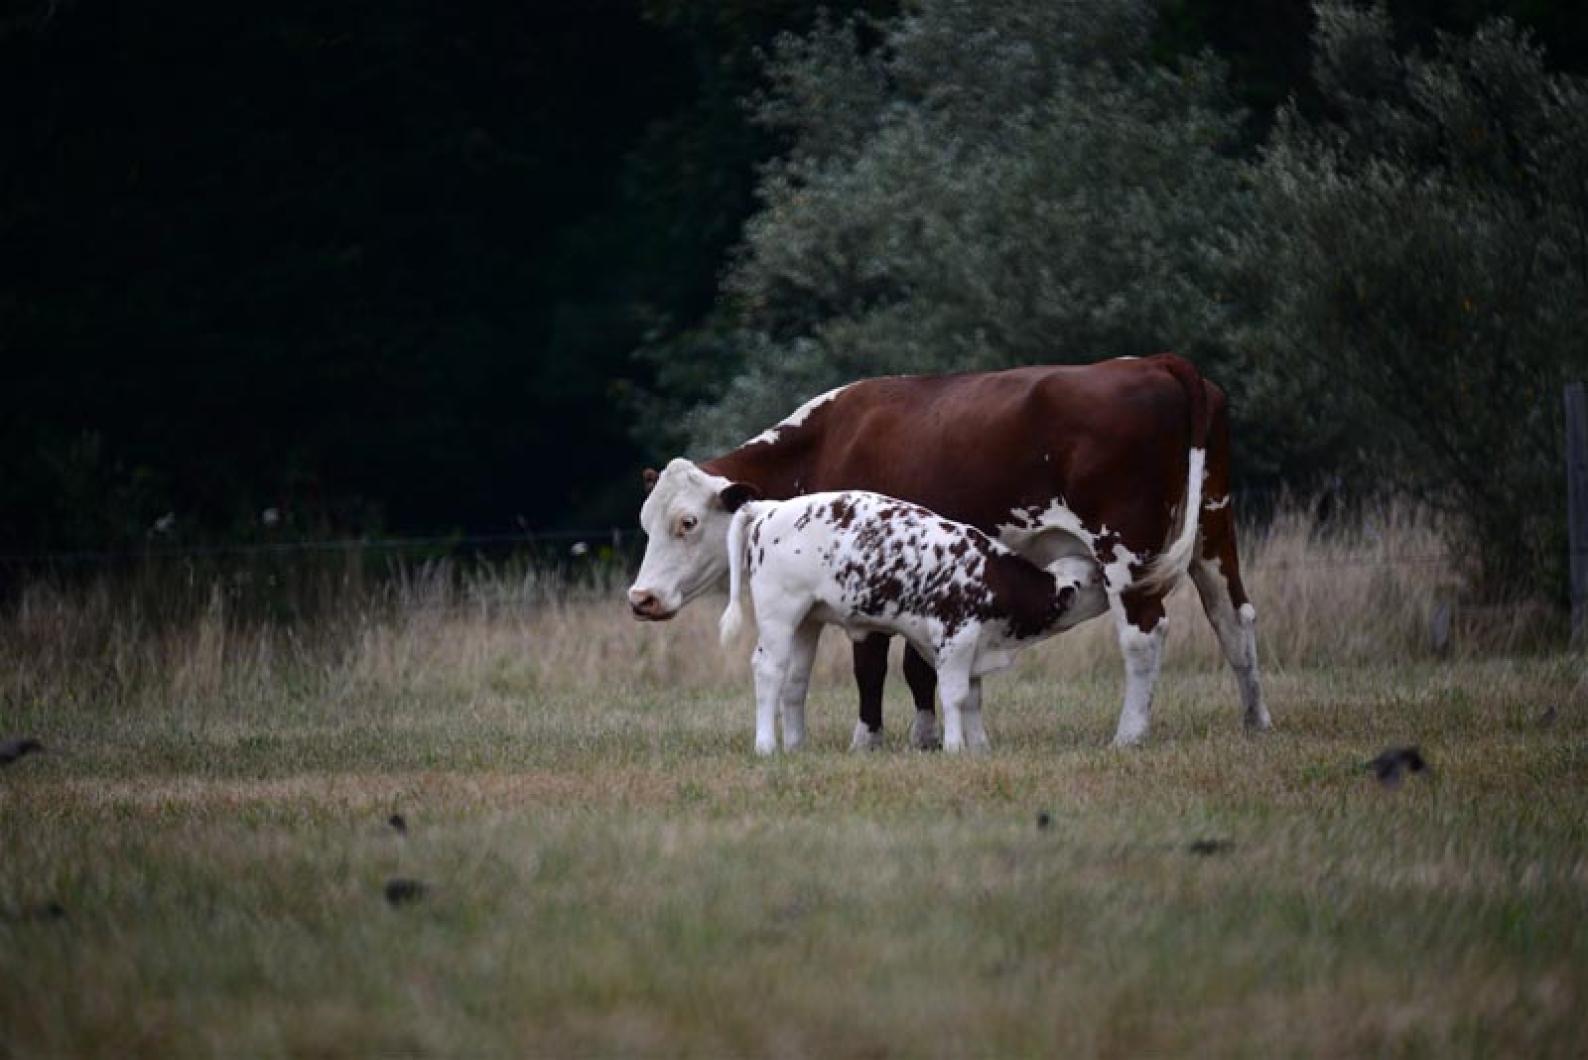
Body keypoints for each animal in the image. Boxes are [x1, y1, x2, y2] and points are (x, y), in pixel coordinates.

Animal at [718, 490, 1104, 754]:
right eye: (1095, 578)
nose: (1111, 581)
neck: (990, 576)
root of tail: (770, 506)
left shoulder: (976, 646)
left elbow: (973, 699)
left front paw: (980, 747)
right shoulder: (955, 637)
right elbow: (954, 695)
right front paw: (954, 747)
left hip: (806, 622)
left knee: (795, 681)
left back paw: (796, 745)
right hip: (779, 615)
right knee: (768, 670)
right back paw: (766, 745)